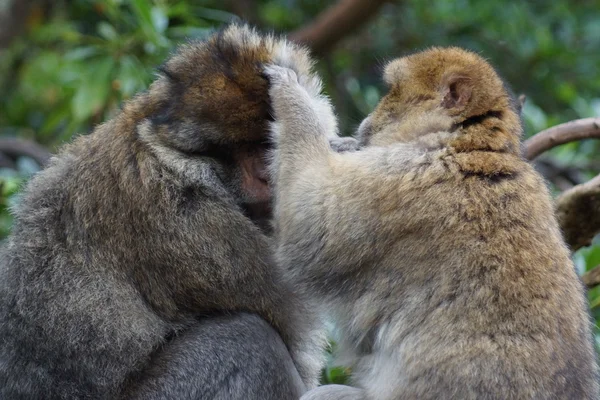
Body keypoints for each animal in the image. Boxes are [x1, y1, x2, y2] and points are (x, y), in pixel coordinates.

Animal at [0, 23, 338, 398]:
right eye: (249, 148)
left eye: (269, 142)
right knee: (248, 340)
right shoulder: (199, 229)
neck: (170, 157)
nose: (266, 175)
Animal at [266, 47, 600, 400]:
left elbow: (308, 225)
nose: (366, 122)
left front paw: (292, 93)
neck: (465, 146)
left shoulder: (397, 178)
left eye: (391, 92)